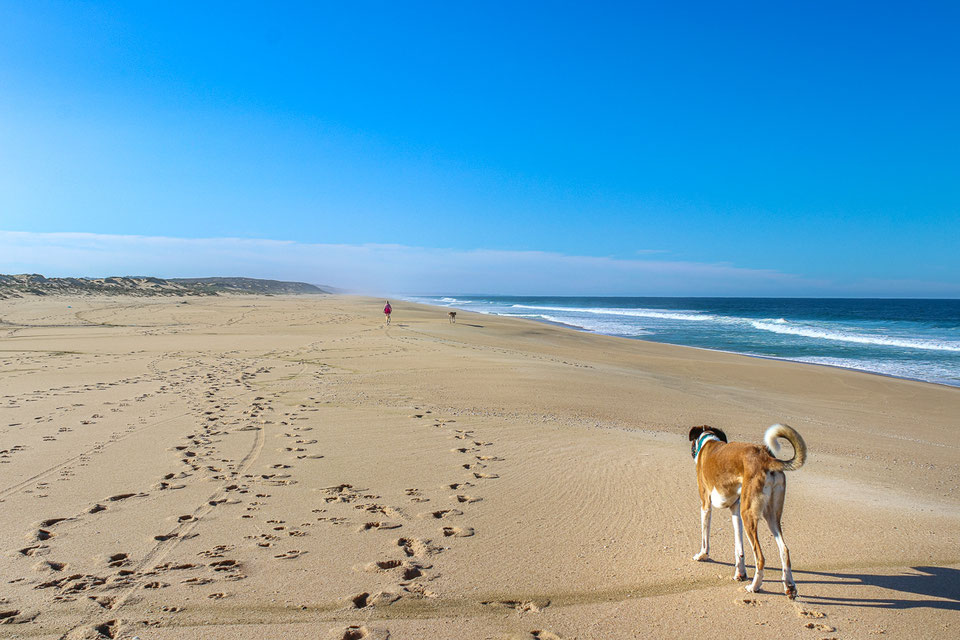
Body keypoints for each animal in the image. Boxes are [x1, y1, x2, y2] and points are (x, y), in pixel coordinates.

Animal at [688, 422, 808, 596]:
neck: (709, 441)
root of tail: (767, 458)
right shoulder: (735, 511)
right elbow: (739, 548)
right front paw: (740, 573)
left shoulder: (705, 505)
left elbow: (705, 538)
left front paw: (702, 555)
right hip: (769, 516)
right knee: (784, 550)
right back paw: (789, 586)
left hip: (748, 516)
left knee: (760, 557)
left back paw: (755, 586)